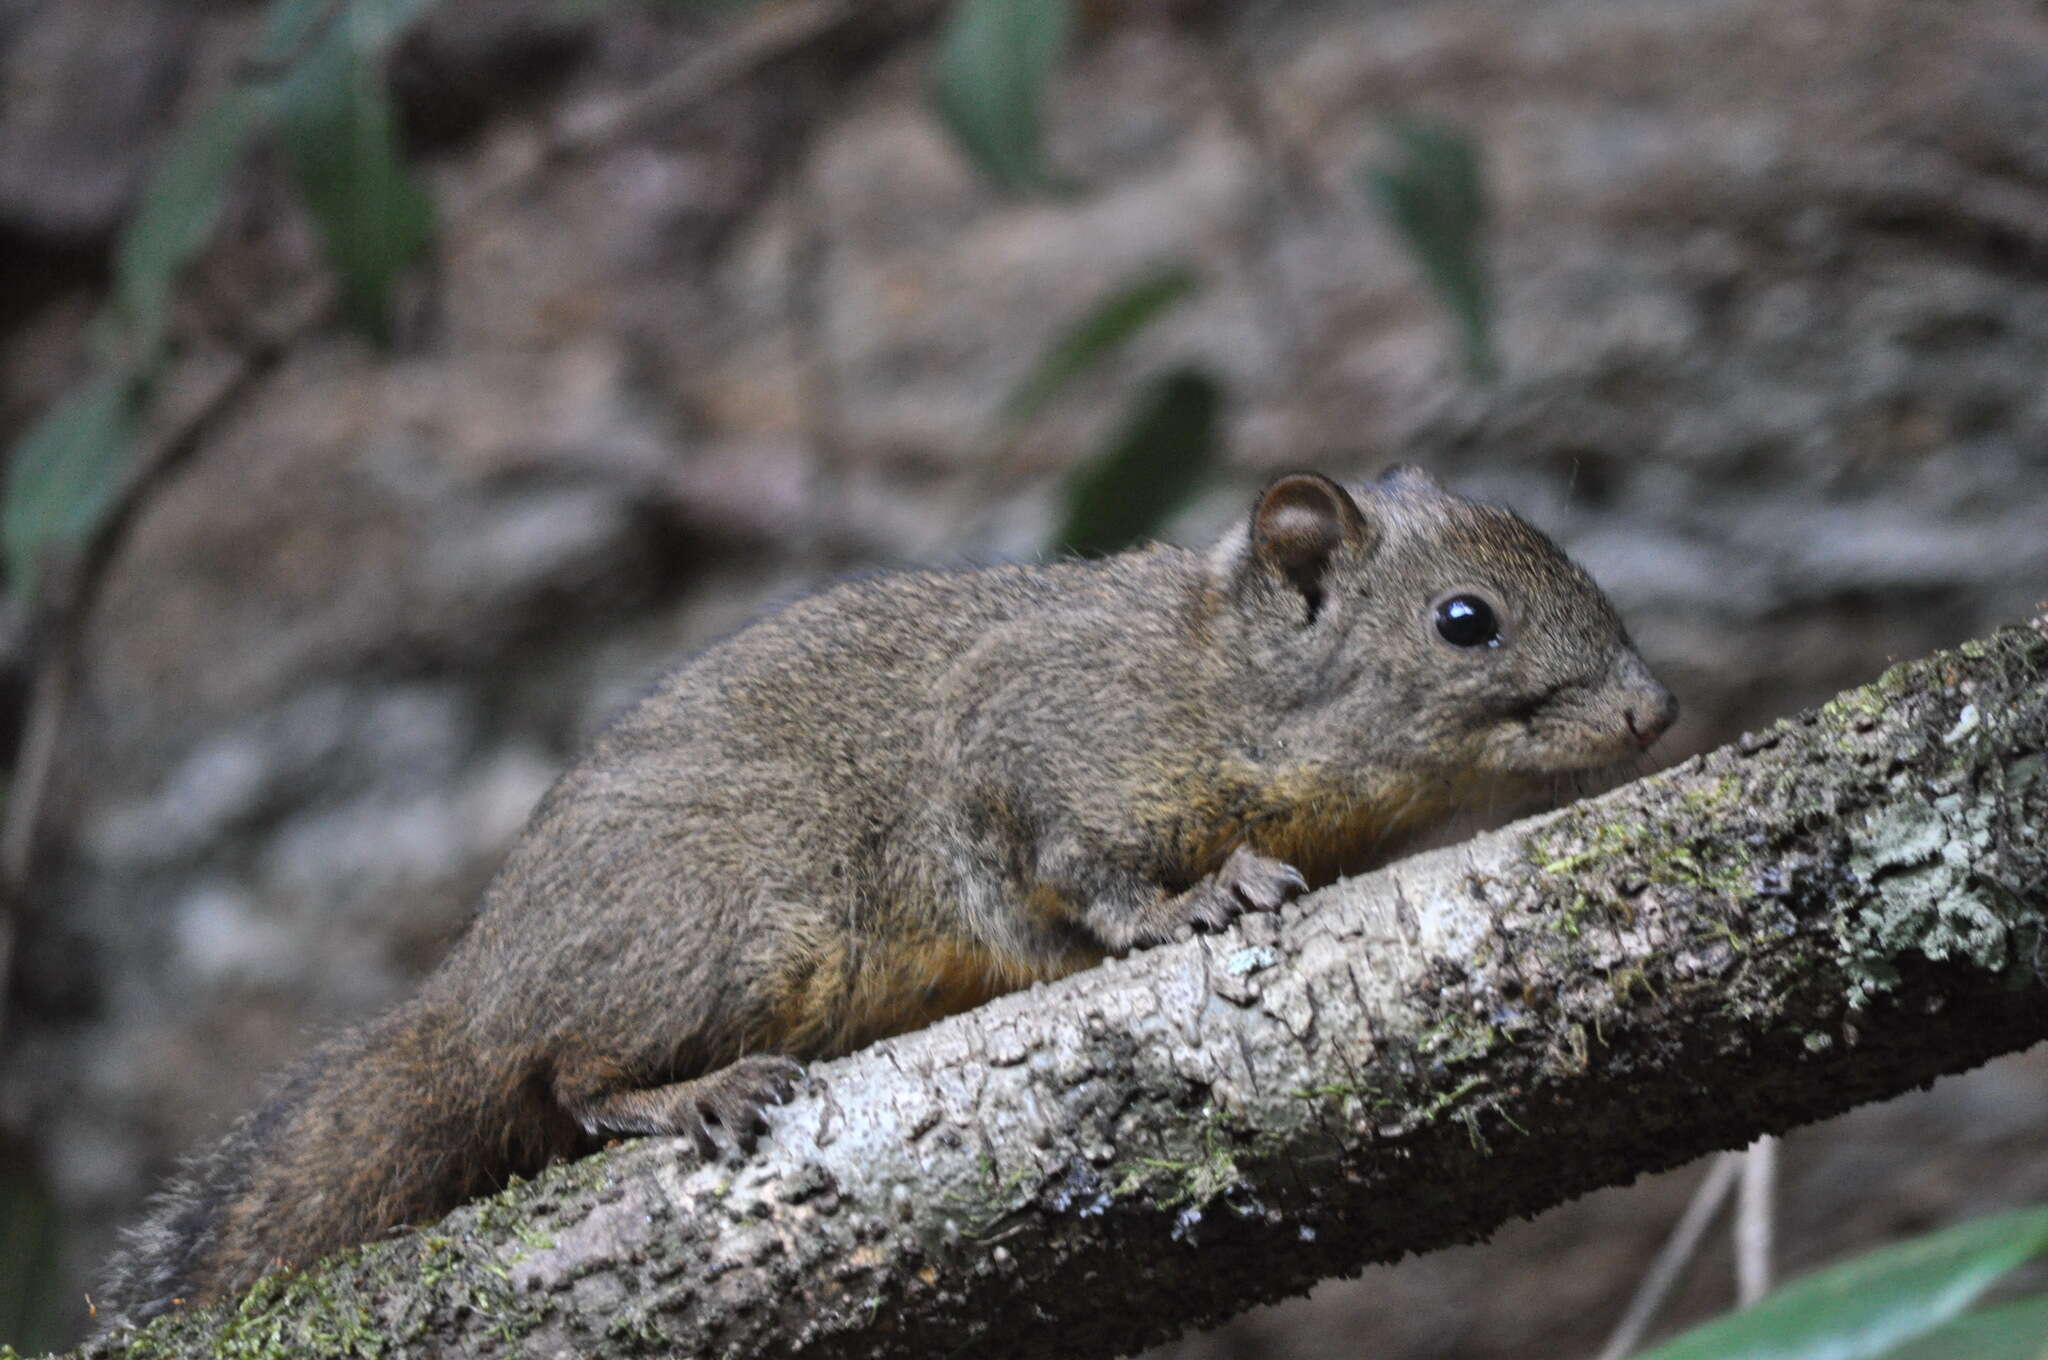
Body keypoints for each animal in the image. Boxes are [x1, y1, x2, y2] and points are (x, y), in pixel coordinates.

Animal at [96, 471, 1671, 1327]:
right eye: (1464, 622)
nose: (1654, 711)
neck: (1221, 681)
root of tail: (476, 989)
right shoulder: (1032, 738)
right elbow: (1075, 871)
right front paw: (1189, 904)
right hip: (727, 932)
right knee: (564, 1077)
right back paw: (688, 1091)